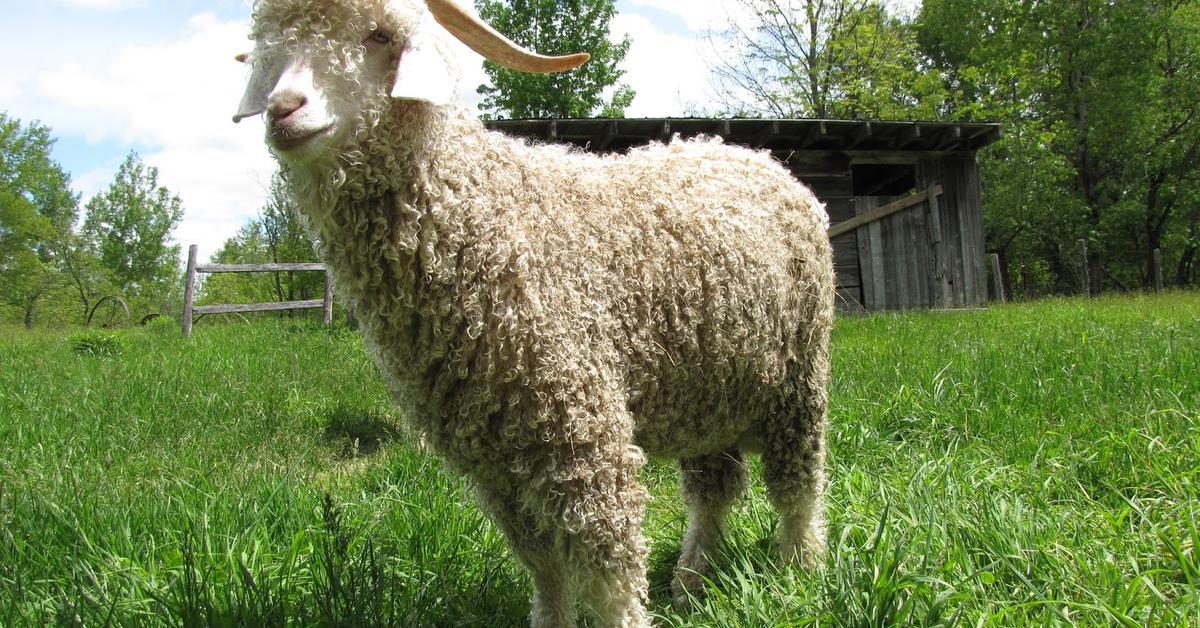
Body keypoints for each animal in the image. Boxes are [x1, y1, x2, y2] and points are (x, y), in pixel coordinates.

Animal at [234, 0, 835, 624]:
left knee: (798, 480)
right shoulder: (494, 458)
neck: (487, 214)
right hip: (710, 390)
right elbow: (544, 566)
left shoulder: (584, 428)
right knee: (715, 487)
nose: (284, 110)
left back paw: (801, 568)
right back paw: (691, 579)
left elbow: (611, 571)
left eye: (379, 35)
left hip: (798, 373)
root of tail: (762, 160)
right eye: (273, 45)